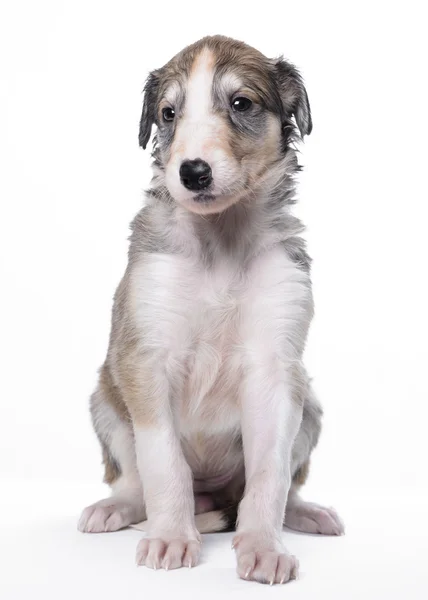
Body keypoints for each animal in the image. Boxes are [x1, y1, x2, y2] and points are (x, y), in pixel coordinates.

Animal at [77, 34, 344, 584]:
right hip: (106, 402)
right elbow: (164, 463)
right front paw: (172, 538)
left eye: (240, 103)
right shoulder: (146, 359)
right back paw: (115, 509)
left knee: (280, 486)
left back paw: (305, 513)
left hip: (309, 407)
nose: (193, 172)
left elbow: (270, 474)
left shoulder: (274, 368)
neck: (220, 238)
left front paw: (262, 547)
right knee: (134, 484)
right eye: (168, 112)